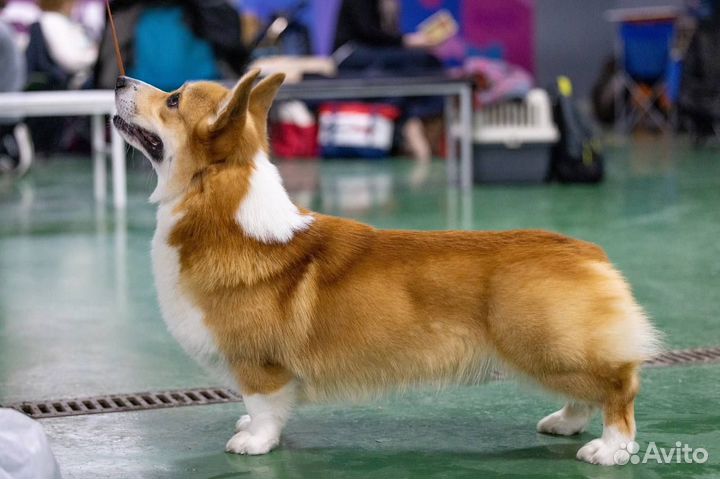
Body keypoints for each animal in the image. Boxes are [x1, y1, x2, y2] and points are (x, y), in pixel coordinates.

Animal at [115, 70, 660, 464]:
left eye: (173, 101)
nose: (119, 81)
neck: (223, 211)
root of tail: (588, 253)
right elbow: (262, 409)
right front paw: (251, 429)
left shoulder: (259, 364)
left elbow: (263, 405)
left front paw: (253, 442)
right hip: (549, 352)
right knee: (587, 391)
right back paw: (564, 422)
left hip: (544, 347)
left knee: (620, 387)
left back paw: (610, 448)